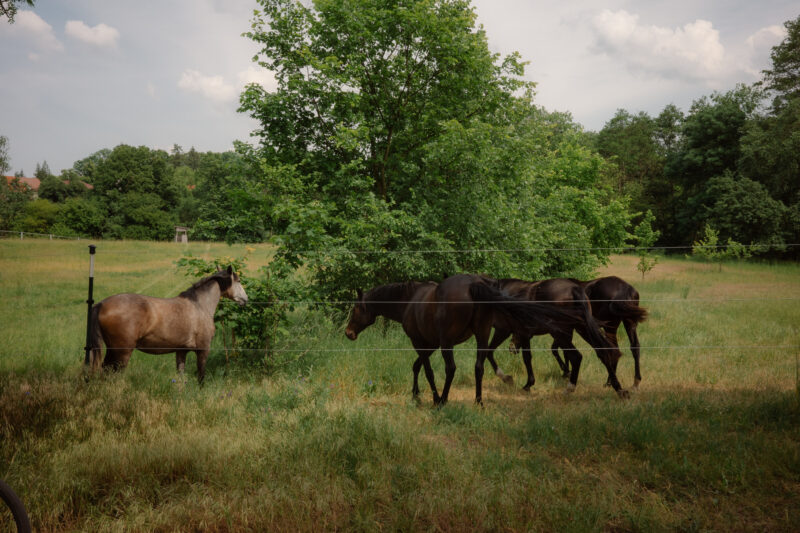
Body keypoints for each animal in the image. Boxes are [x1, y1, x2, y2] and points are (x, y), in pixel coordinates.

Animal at [87, 266, 248, 382]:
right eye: (239, 281)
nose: (245, 299)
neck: (199, 305)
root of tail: (101, 304)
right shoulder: (203, 350)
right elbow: (201, 377)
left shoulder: (181, 351)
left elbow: (181, 377)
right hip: (122, 353)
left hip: (112, 351)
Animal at [345, 274, 585, 405]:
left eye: (355, 308)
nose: (348, 333)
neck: (409, 300)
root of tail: (472, 285)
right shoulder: (430, 344)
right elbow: (416, 366)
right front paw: (415, 393)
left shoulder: (422, 343)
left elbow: (427, 370)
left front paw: (433, 397)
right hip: (482, 335)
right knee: (479, 366)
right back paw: (478, 400)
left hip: (451, 344)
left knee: (451, 368)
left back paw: (443, 399)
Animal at [484, 277, 629, 398]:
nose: (512, 348)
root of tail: (574, 290)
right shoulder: (522, 334)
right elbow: (526, 357)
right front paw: (527, 384)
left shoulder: (504, 330)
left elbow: (492, 352)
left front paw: (510, 379)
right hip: (583, 330)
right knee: (603, 353)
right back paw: (619, 389)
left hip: (561, 333)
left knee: (577, 356)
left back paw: (570, 388)